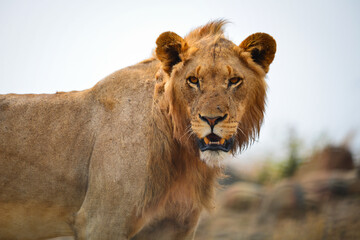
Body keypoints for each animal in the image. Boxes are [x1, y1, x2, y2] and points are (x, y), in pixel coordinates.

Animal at [0, 21, 276, 240]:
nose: (212, 119)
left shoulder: (174, 227)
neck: (181, 154)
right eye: (193, 80)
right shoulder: (101, 221)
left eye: (234, 80)